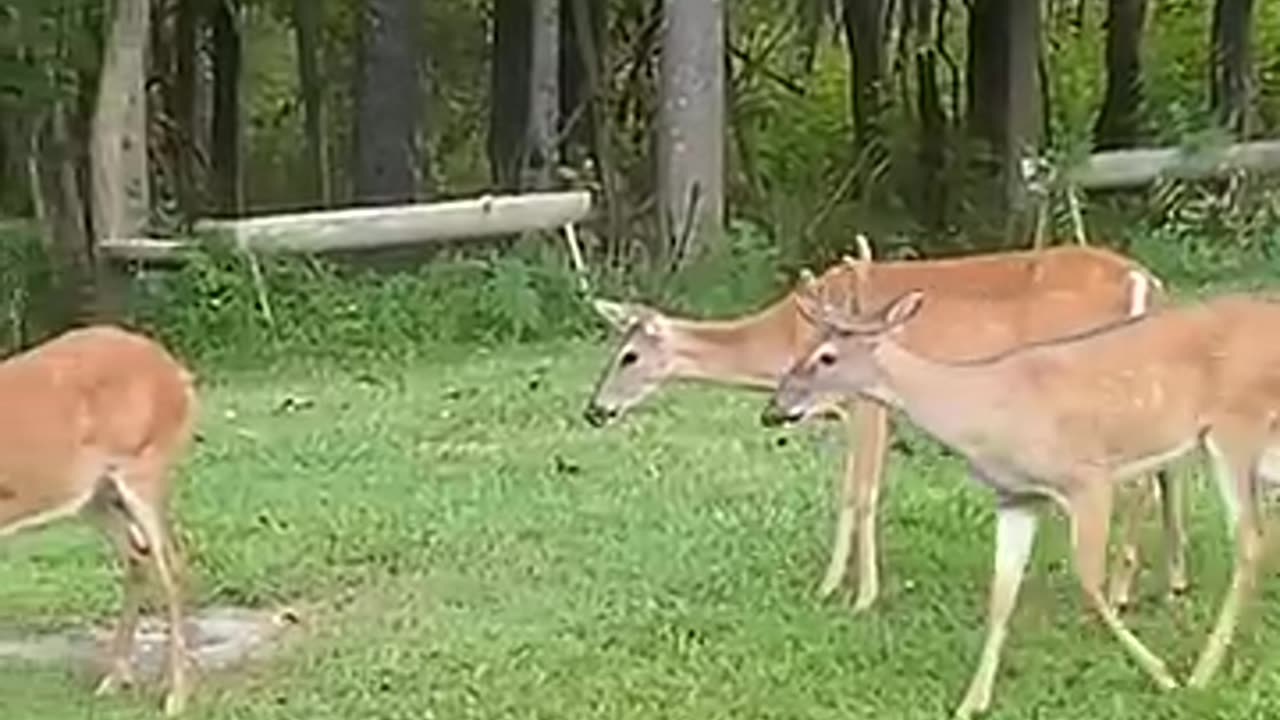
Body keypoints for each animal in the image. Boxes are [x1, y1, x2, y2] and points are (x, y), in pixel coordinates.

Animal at [0, 324, 197, 712]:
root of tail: (177, 372)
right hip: (95, 494)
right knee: (138, 556)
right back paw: (115, 679)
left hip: (145, 464)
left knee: (172, 565)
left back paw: (175, 696)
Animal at [586, 235, 1182, 609]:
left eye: (628, 357)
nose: (594, 410)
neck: (785, 339)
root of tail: (1147, 281)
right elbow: (852, 491)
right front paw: (837, 585)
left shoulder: (867, 402)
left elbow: (861, 493)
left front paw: (857, 594)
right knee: (1163, 470)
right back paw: (1170, 581)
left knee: (1141, 478)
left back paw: (1123, 587)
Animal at [762, 283, 1280, 712]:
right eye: (802, 348)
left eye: (826, 357)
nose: (773, 410)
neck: (987, 414)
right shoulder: (1016, 497)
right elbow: (1002, 596)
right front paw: (971, 703)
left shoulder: (1088, 478)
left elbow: (1089, 584)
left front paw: (1163, 675)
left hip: (1235, 427)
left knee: (1250, 543)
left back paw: (1200, 673)